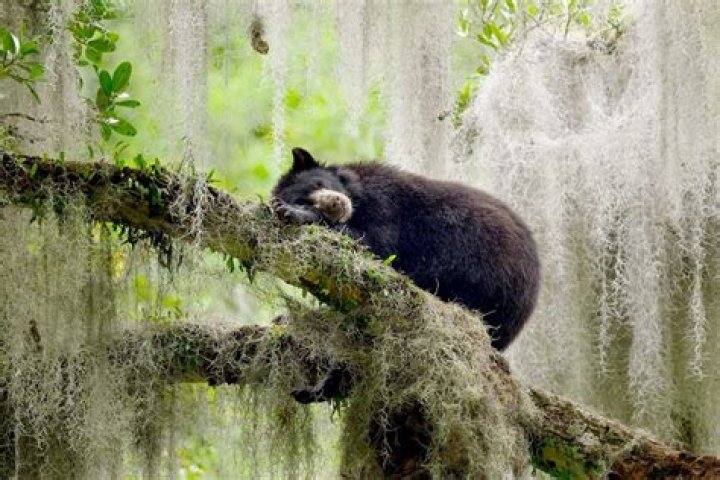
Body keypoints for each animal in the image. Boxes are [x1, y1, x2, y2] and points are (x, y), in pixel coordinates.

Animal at [272, 148, 540, 400]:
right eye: (306, 199)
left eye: (320, 184)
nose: (337, 203)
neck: (358, 200)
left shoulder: (385, 205)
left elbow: (373, 245)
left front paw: (292, 212)